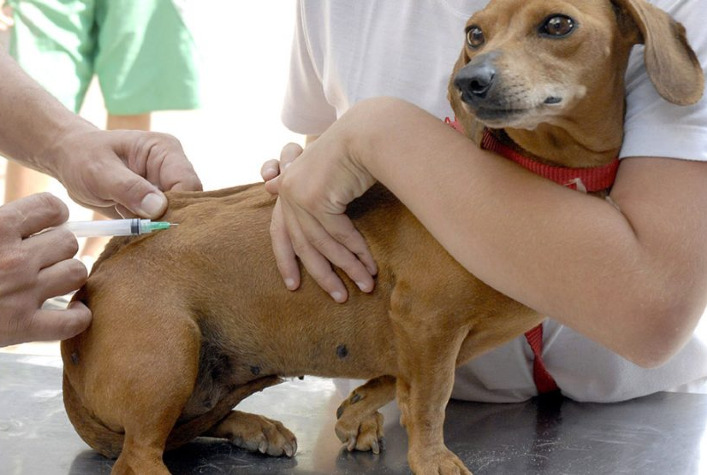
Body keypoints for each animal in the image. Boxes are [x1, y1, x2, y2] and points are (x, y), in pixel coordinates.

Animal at [60, 0, 704, 474]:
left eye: (558, 24)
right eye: (474, 33)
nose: (469, 82)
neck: (535, 174)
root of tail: (102, 268)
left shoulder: (426, 336)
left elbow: (400, 382)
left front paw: (356, 411)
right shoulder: (427, 320)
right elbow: (430, 400)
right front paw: (432, 457)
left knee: (187, 428)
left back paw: (254, 426)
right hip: (170, 357)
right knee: (141, 452)